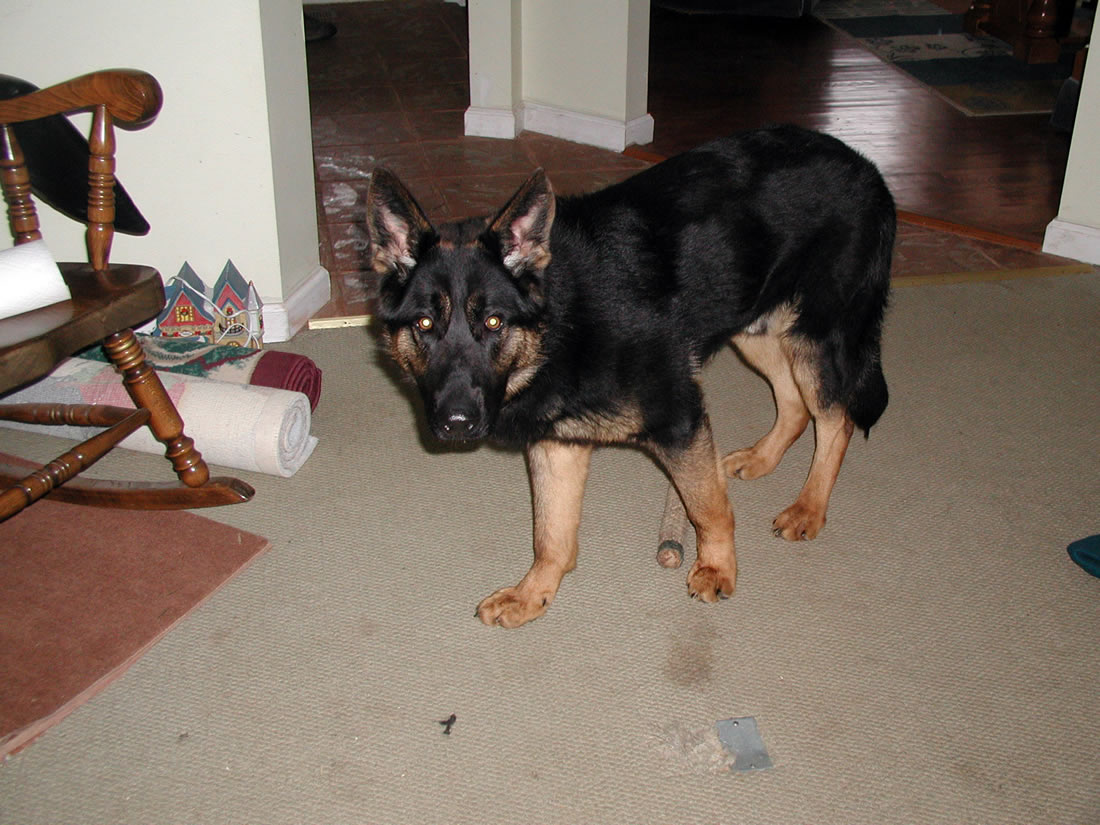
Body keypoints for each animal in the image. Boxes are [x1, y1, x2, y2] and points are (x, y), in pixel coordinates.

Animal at [366, 125, 894, 628]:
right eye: (424, 325)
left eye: (493, 323)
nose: (456, 423)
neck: (560, 324)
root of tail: (867, 167)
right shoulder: (558, 445)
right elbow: (551, 537)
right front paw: (532, 595)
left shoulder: (681, 421)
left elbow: (708, 509)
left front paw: (718, 568)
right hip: (755, 328)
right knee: (794, 402)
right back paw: (761, 458)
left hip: (815, 340)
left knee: (837, 420)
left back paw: (809, 508)